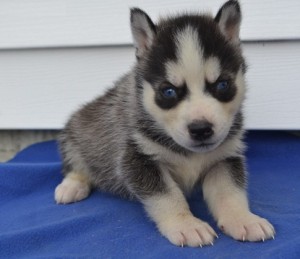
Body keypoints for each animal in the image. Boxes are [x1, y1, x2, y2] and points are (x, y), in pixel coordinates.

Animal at [55, 0, 276, 248]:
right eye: (169, 91)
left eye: (222, 85)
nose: (201, 129)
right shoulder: (138, 158)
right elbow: (168, 196)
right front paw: (186, 224)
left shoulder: (224, 158)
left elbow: (230, 192)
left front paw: (243, 219)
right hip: (76, 136)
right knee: (76, 164)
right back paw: (72, 186)